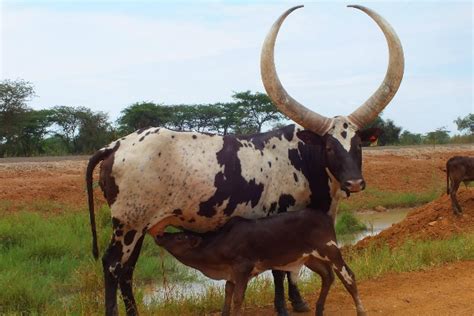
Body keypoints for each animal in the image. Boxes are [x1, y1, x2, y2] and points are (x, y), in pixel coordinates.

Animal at [156, 210, 366, 316]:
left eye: (180, 237)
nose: (160, 236)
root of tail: (325, 216)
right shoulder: (231, 274)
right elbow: (227, 295)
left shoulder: (243, 268)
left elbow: (237, 299)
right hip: (310, 259)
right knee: (328, 277)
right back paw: (319, 309)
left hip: (331, 251)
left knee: (348, 277)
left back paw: (360, 310)